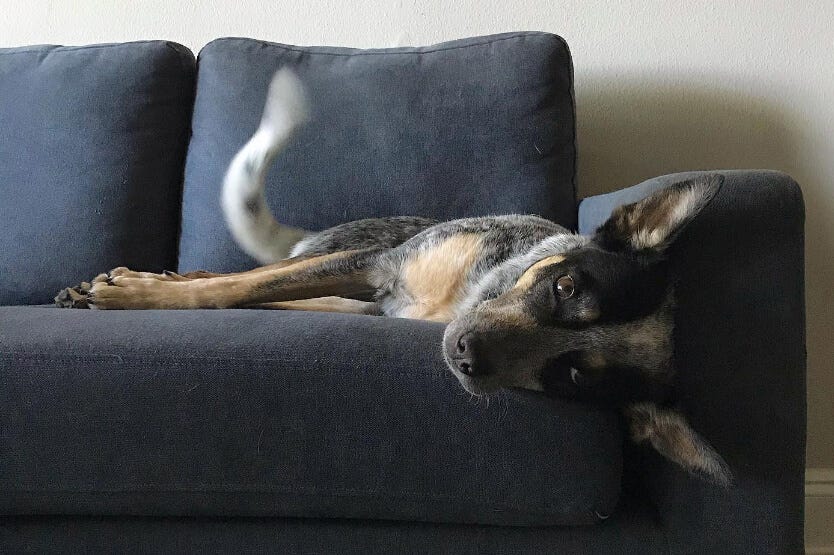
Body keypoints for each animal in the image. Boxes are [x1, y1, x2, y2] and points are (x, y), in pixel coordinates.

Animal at [55, 69, 728, 486]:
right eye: (566, 289)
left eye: (573, 375)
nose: (467, 354)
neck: (462, 297)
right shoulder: (382, 264)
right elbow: (234, 288)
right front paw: (137, 293)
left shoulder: (370, 302)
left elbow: (247, 300)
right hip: (351, 250)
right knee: (258, 269)